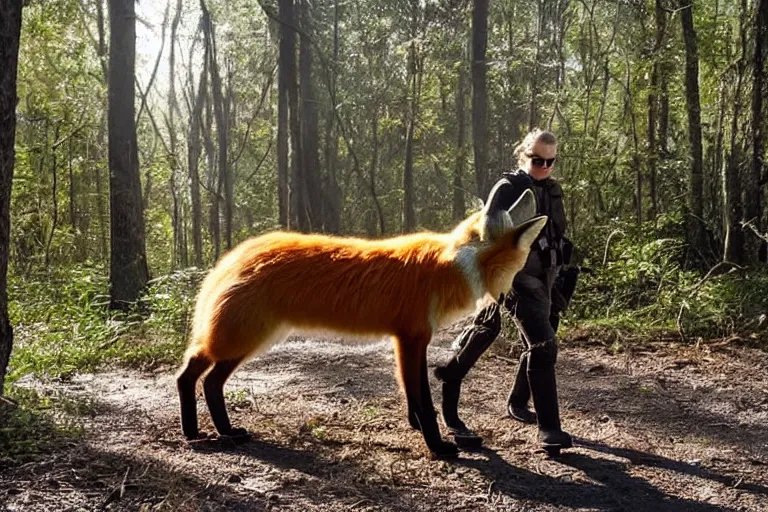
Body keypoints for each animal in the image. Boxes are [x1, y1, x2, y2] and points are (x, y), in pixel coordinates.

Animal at [176, 184, 544, 460]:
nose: (533, 187)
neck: (450, 266)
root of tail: (235, 256)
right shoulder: (413, 338)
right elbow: (425, 403)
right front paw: (438, 446)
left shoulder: (408, 340)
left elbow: (412, 395)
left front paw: (417, 428)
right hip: (243, 338)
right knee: (199, 377)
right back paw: (206, 432)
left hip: (239, 340)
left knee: (199, 379)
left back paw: (210, 432)